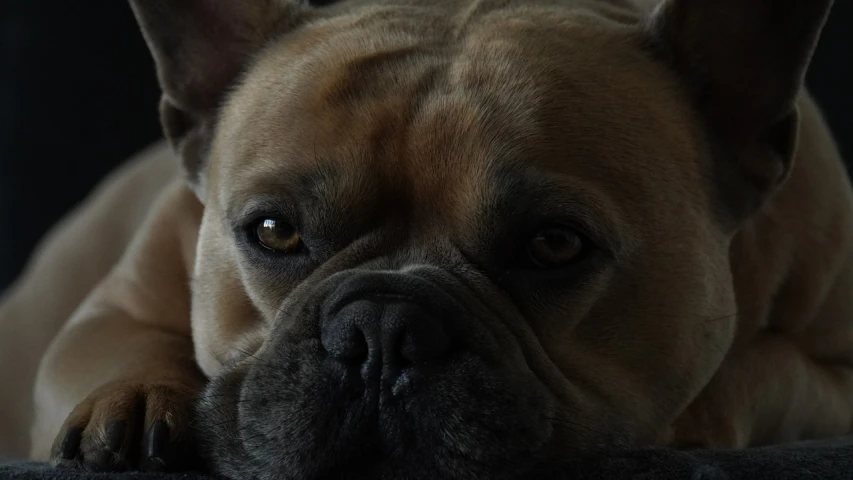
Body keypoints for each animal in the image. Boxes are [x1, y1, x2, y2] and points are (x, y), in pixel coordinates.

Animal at [1, 0, 852, 478]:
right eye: (274, 231)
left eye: (554, 245)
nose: (381, 329)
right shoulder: (111, 307)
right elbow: (118, 340)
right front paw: (135, 397)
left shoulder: (832, 381)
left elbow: (763, 371)